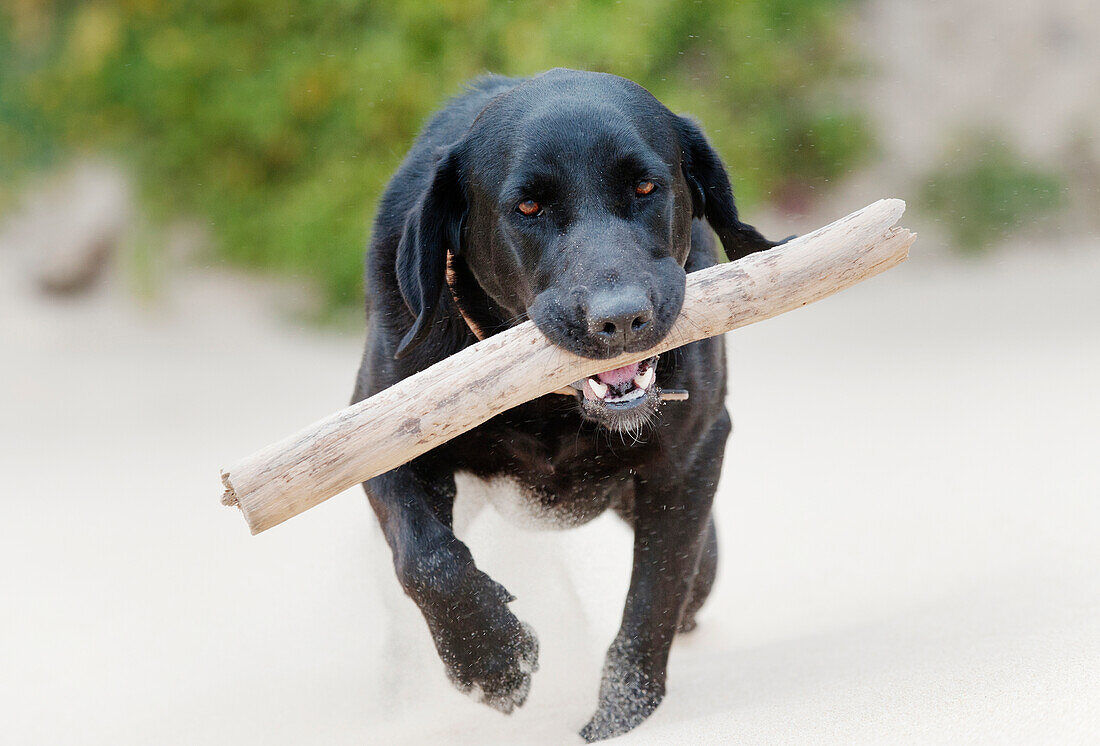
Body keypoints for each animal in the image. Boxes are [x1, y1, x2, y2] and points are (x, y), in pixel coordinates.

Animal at [352, 68, 783, 743]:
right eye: (528, 207)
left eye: (645, 187)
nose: (621, 319)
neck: (550, 407)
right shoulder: (384, 448)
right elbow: (427, 560)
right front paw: (493, 663)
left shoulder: (690, 457)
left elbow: (654, 598)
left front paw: (620, 718)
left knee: (695, 577)